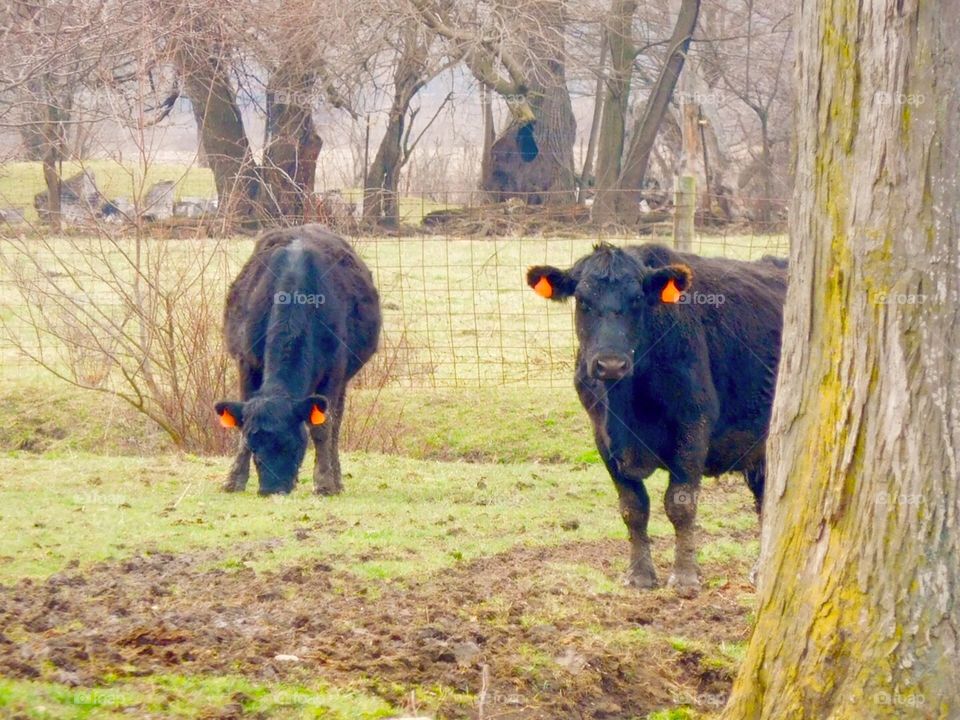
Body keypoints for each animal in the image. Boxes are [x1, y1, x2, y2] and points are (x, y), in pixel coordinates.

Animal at [215, 225, 381, 496]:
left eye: (293, 445)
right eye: (254, 446)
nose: (271, 490)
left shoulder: (333, 373)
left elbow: (323, 429)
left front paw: (324, 483)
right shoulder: (246, 364)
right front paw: (234, 480)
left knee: (335, 425)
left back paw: (336, 479)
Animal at [527, 243, 786, 595]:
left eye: (637, 299)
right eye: (583, 299)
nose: (610, 363)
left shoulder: (693, 426)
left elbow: (680, 504)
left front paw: (685, 576)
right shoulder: (602, 436)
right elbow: (633, 507)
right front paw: (639, 574)